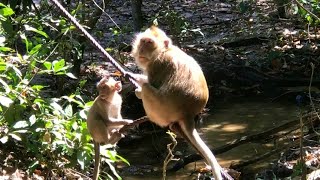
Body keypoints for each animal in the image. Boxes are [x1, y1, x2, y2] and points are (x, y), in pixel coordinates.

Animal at [130, 26, 232, 180]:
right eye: (143, 41)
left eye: (149, 43)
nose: (142, 49)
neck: (165, 50)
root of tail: (188, 114)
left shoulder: (157, 64)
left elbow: (151, 83)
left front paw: (137, 85)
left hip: (161, 109)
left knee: (148, 89)